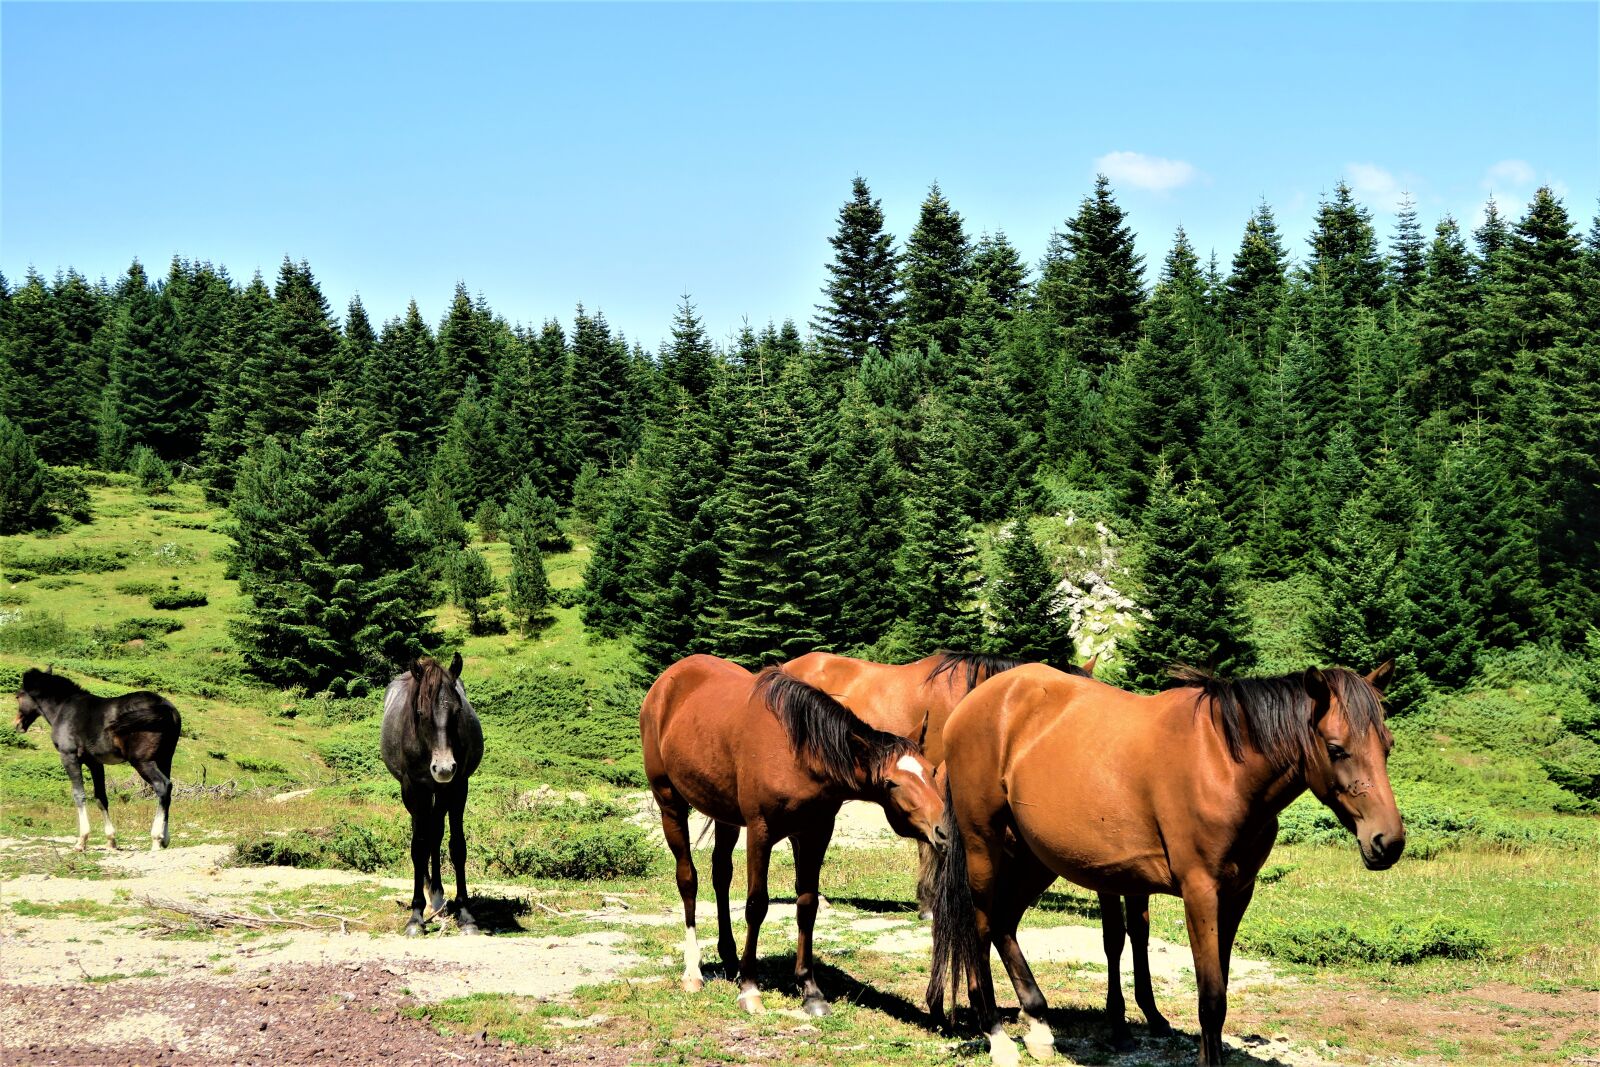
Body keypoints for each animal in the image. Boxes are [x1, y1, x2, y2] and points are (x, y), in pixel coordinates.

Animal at [14, 668, 180, 851]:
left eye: (18, 696)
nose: (17, 725)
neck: (63, 710)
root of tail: (165, 708)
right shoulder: (95, 763)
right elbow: (101, 798)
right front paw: (111, 840)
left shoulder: (69, 757)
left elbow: (79, 795)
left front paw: (81, 840)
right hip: (165, 759)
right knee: (168, 790)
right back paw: (165, 839)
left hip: (143, 762)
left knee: (162, 786)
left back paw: (156, 839)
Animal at [380, 652, 480, 934]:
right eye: (420, 712)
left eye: (457, 711)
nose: (444, 768)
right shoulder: (414, 788)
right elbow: (418, 846)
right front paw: (416, 916)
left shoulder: (458, 787)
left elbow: (457, 846)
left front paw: (466, 914)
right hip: (416, 796)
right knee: (422, 833)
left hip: (441, 793)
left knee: (435, 832)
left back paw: (437, 894)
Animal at [640, 652, 947, 1017]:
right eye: (891, 783)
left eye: (931, 771)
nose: (943, 829)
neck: (799, 753)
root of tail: (666, 682)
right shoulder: (761, 832)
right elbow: (757, 904)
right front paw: (749, 988)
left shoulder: (814, 832)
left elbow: (807, 904)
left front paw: (810, 989)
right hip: (670, 804)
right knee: (688, 879)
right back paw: (693, 971)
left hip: (724, 814)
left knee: (721, 875)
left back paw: (730, 958)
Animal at [928, 662, 1401, 1062]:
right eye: (1336, 749)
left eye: (1388, 746)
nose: (1388, 841)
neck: (1222, 767)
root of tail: (978, 701)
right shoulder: (1200, 892)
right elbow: (1210, 998)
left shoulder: (1237, 894)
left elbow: (1216, 984)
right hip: (983, 844)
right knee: (981, 924)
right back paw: (996, 1033)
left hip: (1033, 857)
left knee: (1004, 923)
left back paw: (1038, 1022)